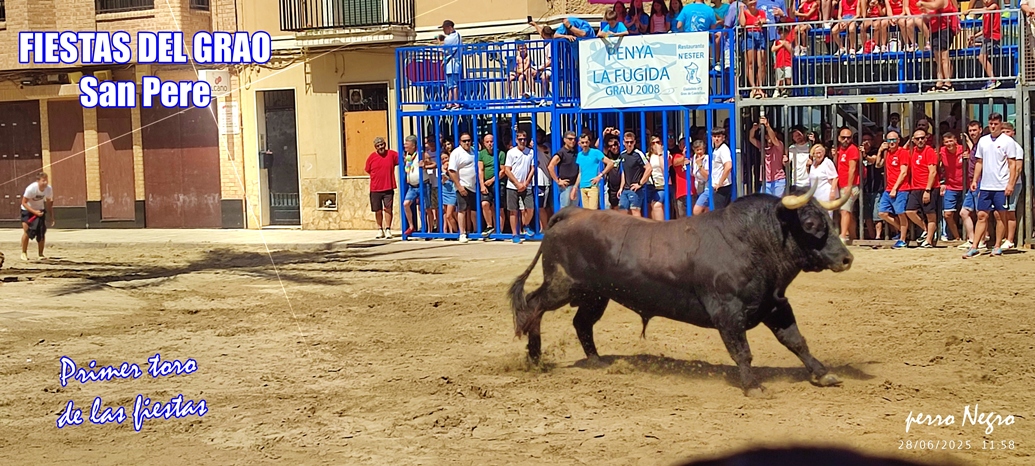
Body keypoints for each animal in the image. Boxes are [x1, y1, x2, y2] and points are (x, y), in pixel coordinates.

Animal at [508, 184, 858, 397]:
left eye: (828, 219)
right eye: (810, 224)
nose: (846, 258)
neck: (754, 241)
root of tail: (572, 213)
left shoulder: (775, 305)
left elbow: (796, 341)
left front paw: (823, 374)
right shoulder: (728, 313)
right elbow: (742, 351)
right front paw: (753, 386)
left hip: (596, 294)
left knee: (581, 323)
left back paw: (596, 361)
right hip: (562, 285)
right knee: (533, 305)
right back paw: (535, 358)